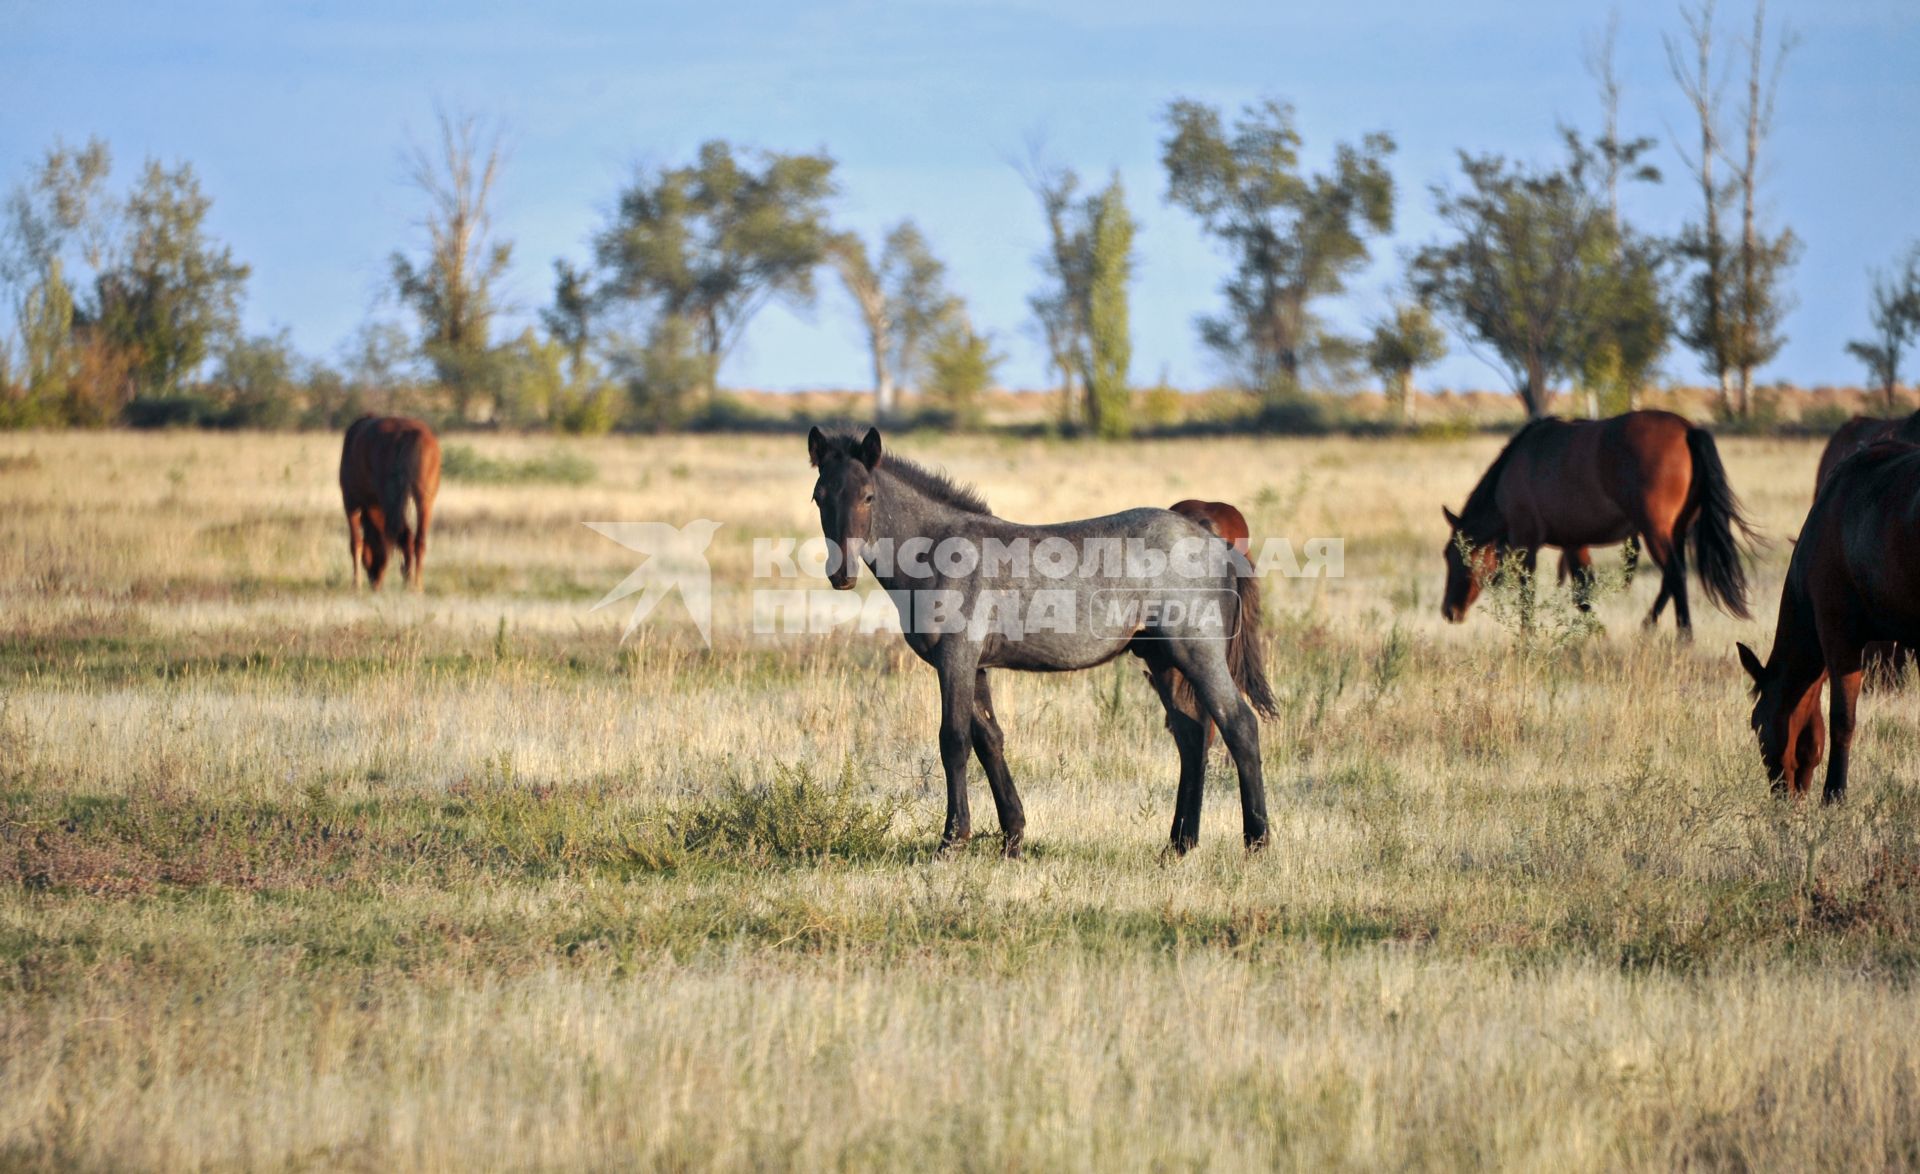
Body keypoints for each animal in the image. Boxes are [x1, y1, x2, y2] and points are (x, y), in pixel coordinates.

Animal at [341, 418, 441, 591]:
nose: (375, 583)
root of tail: (410, 433)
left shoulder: (351, 502)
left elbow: (356, 544)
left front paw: (356, 585)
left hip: (391, 501)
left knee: (405, 536)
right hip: (424, 500)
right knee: (417, 541)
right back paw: (416, 585)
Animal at [806, 426, 1274, 860]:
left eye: (868, 496)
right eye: (818, 496)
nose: (842, 574)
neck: (940, 552)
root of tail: (1216, 541)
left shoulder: (956, 657)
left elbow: (953, 740)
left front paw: (952, 841)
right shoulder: (973, 664)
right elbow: (989, 740)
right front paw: (1012, 839)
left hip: (1198, 651)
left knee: (1238, 725)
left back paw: (1256, 842)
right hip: (1163, 660)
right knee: (1192, 737)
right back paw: (1178, 845)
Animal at [1443, 409, 1758, 637]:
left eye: (1454, 556)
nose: (1449, 611)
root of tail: (1687, 429)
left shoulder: (1526, 540)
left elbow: (1528, 588)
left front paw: (1527, 635)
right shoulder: (1574, 543)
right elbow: (1582, 595)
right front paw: (1598, 633)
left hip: (1655, 532)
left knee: (1676, 574)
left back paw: (1684, 635)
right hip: (1677, 532)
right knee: (1671, 578)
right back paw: (1649, 625)